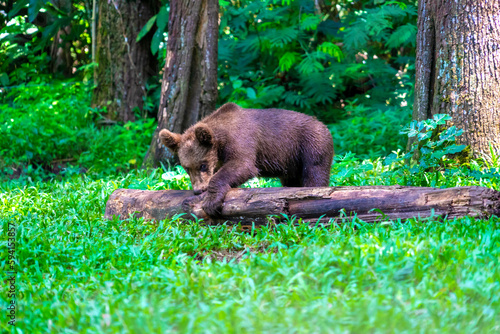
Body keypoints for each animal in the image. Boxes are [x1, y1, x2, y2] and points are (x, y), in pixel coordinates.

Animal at [159, 102, 332, 217]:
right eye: (186, 168)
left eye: (203, 165)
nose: (198, 190)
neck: (220, 142)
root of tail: (324, 125)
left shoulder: (241, 140)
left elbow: (242, 165)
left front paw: (211, 202)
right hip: (291, 163)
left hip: (310, 145)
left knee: (315, 172)